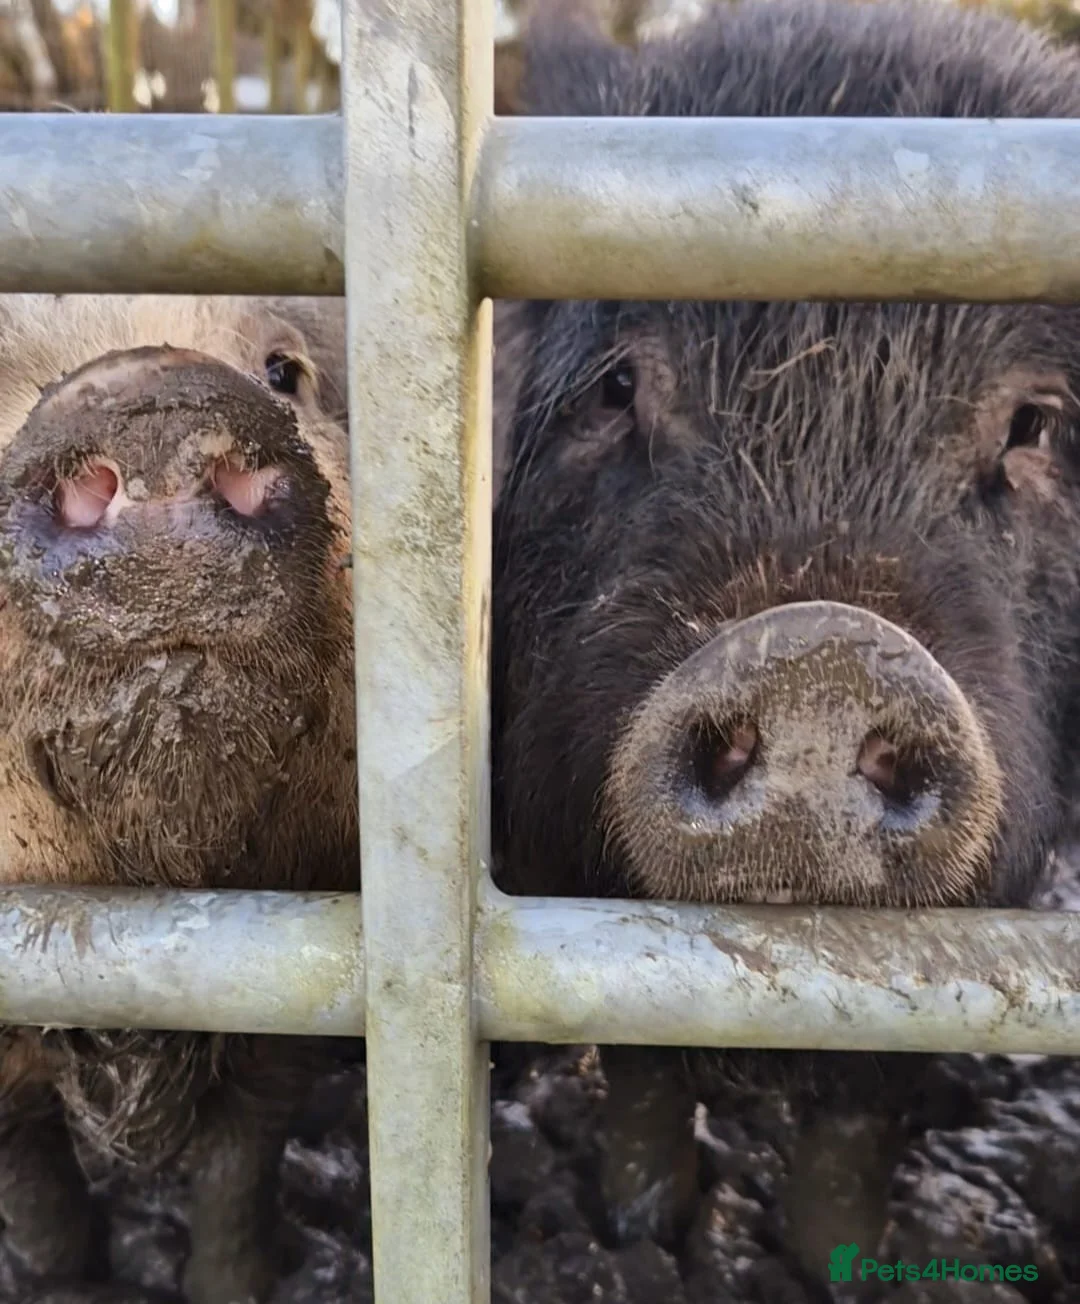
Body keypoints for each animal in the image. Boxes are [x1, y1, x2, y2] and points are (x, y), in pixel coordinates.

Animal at [489, 0, 1080, 1283]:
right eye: (619, 385)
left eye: (1032, 423)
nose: (820, 646)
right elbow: (641, 1057)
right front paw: (640, 1227)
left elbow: (868, 1094)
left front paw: (833, 1259)